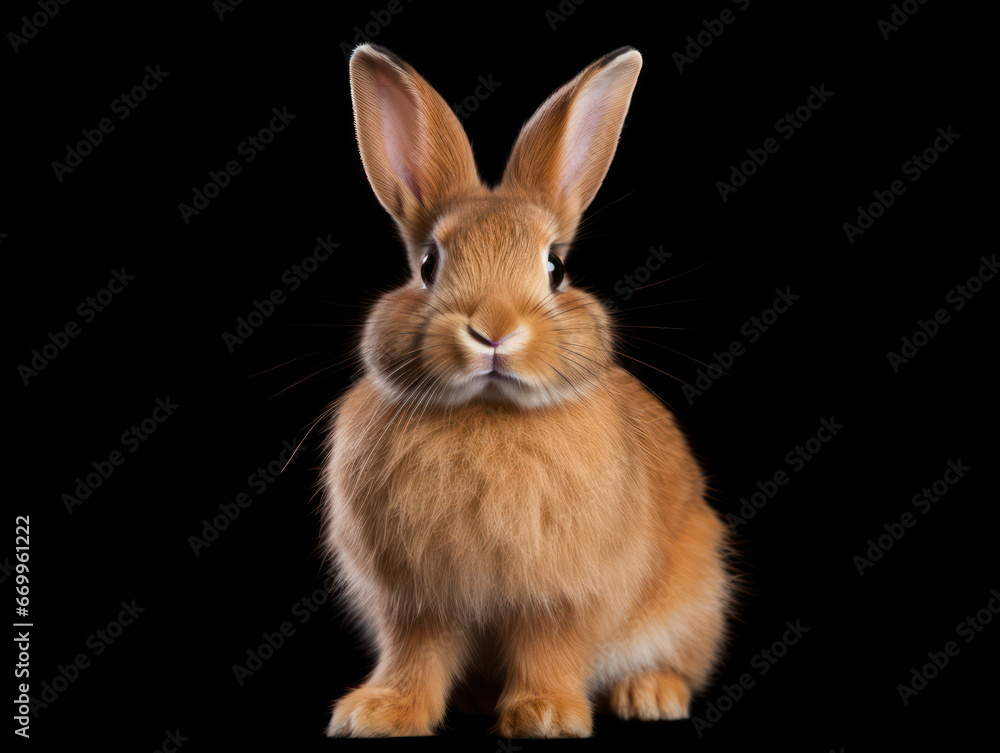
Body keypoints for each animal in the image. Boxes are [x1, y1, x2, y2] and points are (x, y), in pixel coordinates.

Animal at [322, 43, 733, 738]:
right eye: (428, 265)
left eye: (556, 268)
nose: (494, 330)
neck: (488, 412)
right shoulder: (414, 599)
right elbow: (415, 653)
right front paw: (378, 714)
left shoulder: (563, 593)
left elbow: (549, 646)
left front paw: (544, 716)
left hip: (692, 596)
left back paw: (650, 694)